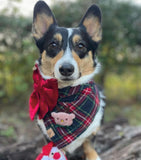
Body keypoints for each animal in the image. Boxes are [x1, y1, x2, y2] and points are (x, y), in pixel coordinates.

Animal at [31, 1, 105, 160]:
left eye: (81, 45)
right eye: (53, 44)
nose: (66, 69)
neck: (68, 94)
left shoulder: (92, 132)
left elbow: (89, 144)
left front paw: (93, 155)